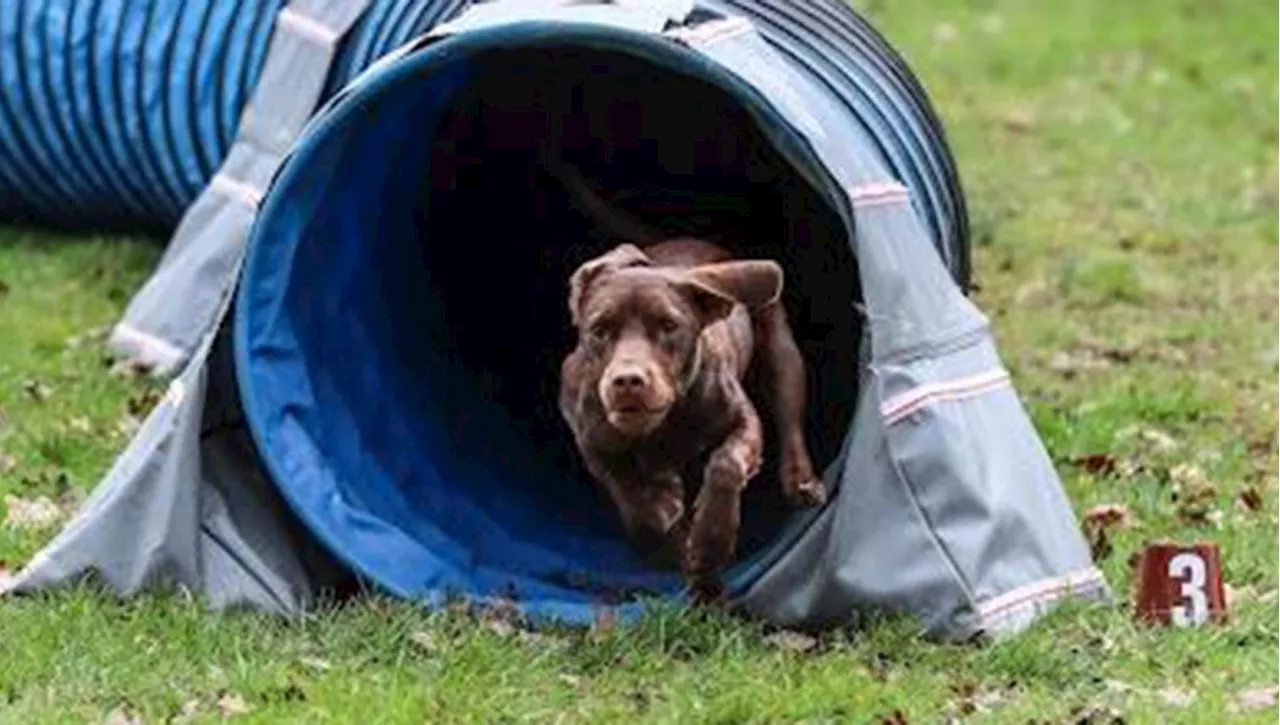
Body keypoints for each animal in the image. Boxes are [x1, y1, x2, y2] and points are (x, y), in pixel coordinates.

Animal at [563, 242, 829, 604]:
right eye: (599, 330)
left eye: (668, 325)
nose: (628, 381)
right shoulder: (590, 439)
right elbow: (627, 490)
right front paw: (664, 511)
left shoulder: (742, 420)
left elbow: (725, 466)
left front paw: (709, 545)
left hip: (782, 354)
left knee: (790, 421)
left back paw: (801, 482)